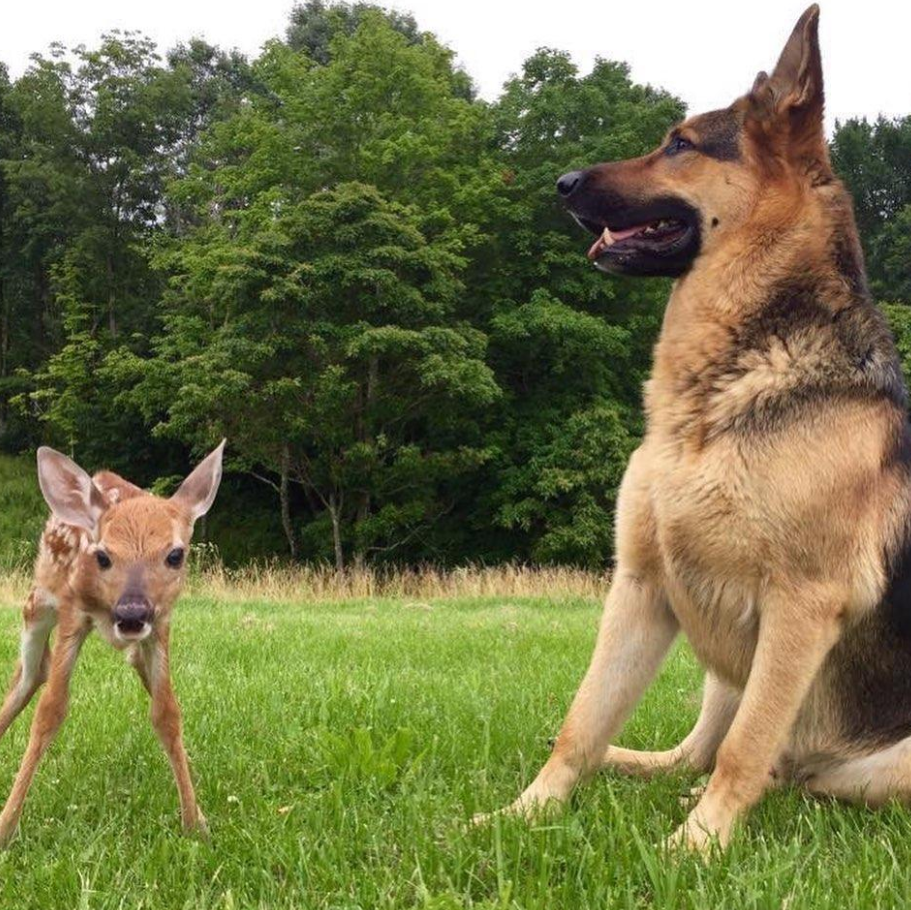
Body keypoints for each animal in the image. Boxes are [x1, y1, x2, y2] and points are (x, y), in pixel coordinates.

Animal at [478, 5, 911, 856]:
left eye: (679, 144)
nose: (561, 183)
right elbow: (581, 722)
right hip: (719, 663)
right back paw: (639, 768)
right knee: (690, 753)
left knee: (786, 772)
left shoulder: (800, 608)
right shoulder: (640, 588)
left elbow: (746, 749)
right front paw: (523, 814)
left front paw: (697, 848)